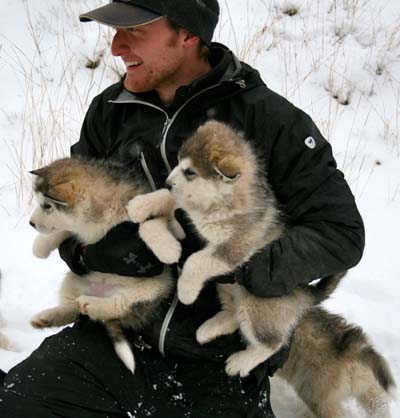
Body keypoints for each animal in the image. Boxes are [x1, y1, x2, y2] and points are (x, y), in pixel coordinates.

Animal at [29, 157, 184, 372]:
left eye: (47, 206)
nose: (31, 223)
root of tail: (100, 293)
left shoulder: (144, 207)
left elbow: (150, 223)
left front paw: (167, 249)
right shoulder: (83, 231)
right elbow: (63, 231)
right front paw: (40, 246)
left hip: (155, 287)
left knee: (118, 305)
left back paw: (93, 304)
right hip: (72, 280)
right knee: (73, 309)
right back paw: (46, 317)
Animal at [129, 121, 344, 378]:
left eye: (190, 172)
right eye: (178, 161)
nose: (167, 183)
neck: (214, 204)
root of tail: (305, 293)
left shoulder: (233, 247)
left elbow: (195, 260)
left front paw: (185, 291)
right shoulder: (184, 222)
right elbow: (157, 217)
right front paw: (145, 213)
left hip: (255, 305)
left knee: (271, 343)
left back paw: (241, 362)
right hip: (227, 290)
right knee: (233, 315)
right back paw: (207, 330)